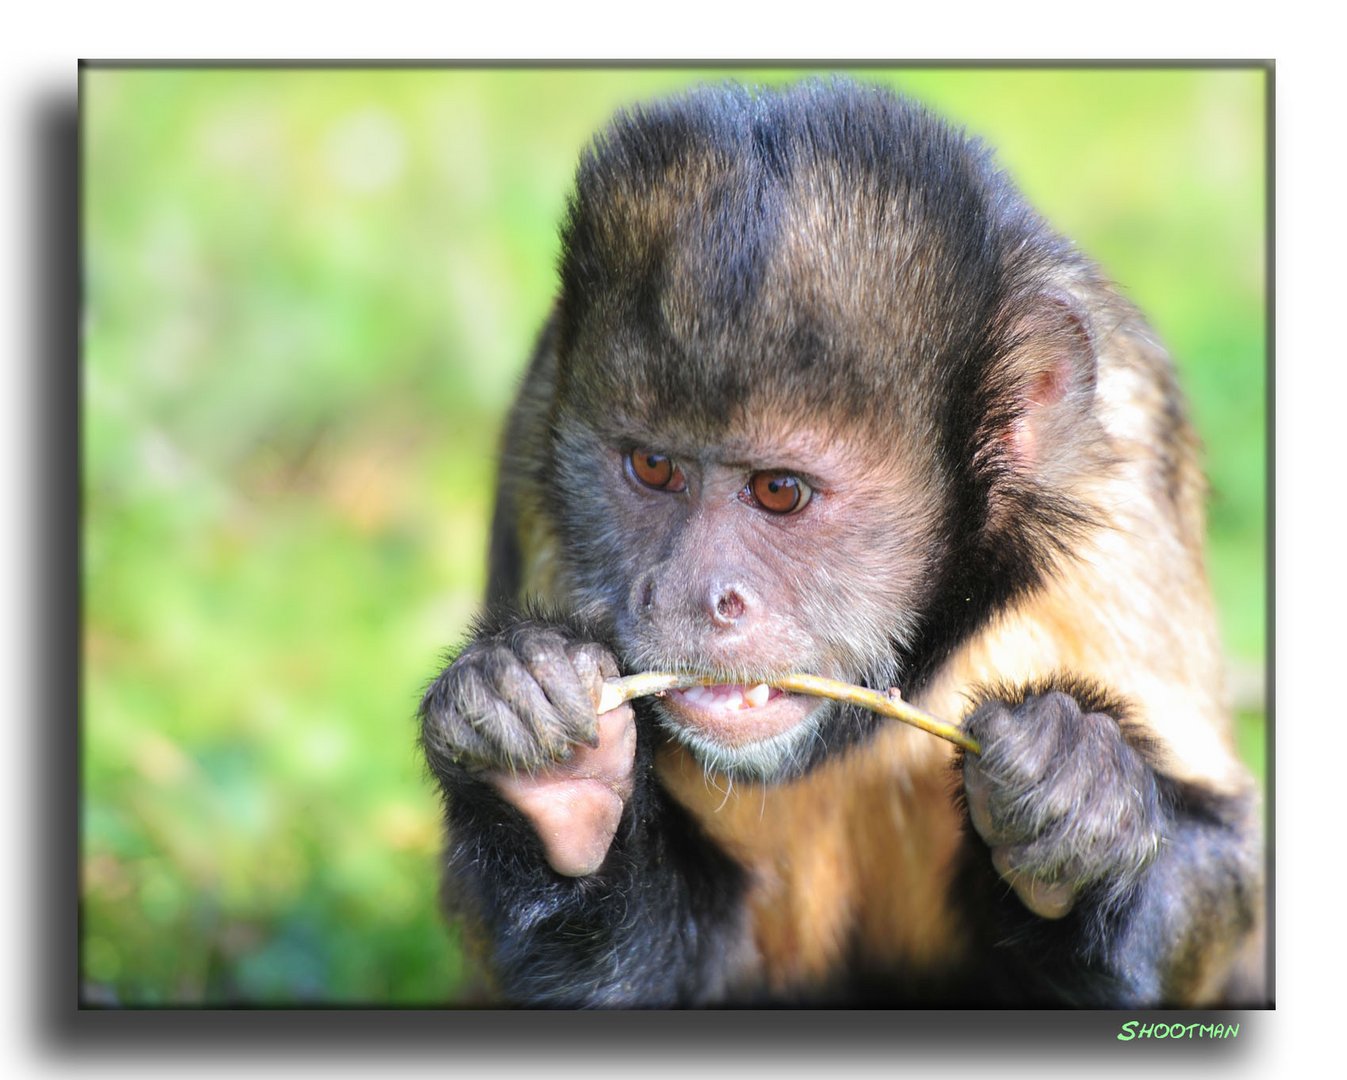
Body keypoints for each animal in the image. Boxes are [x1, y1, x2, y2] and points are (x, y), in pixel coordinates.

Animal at [417, 80, 1260, 1007]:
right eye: (653, 468)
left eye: (778, 491)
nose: (687, 593)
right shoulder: (538, 428)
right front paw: (553, 788)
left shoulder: (1129, 433)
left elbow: (1219, 851)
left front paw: (1080, 798)